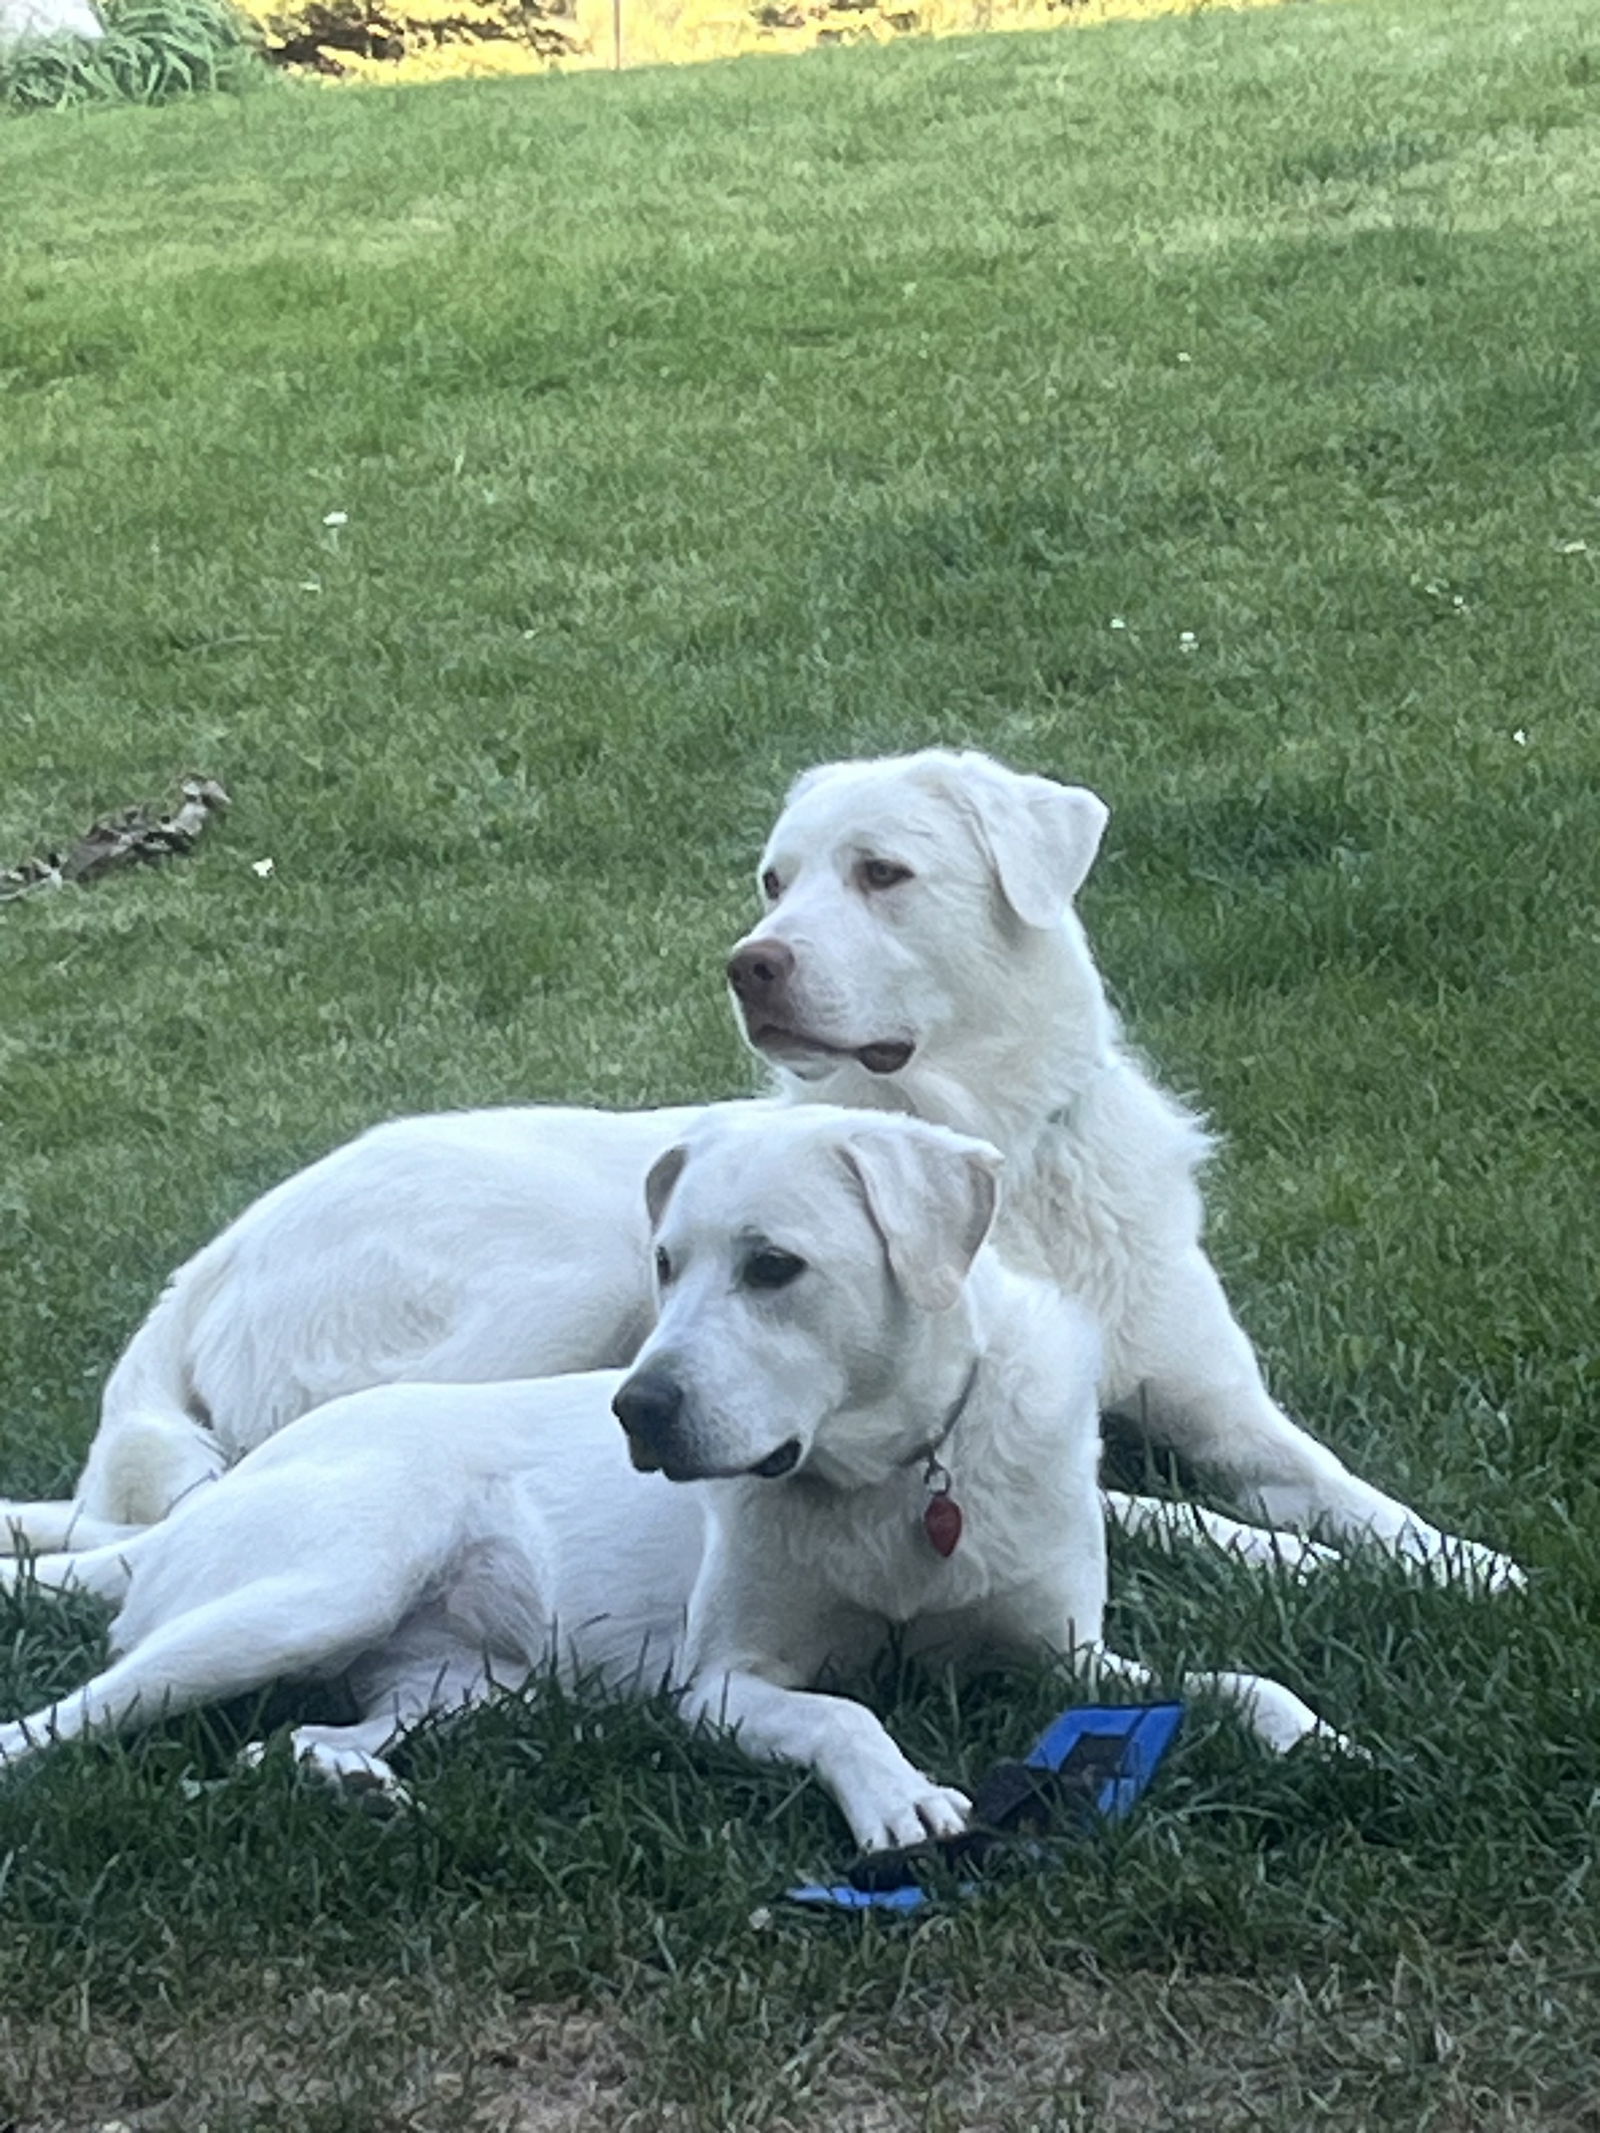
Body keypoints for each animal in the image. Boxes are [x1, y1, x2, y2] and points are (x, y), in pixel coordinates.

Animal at [0, 750, 1527, 1586]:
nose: (751, 964)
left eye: (881, 873)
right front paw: (1293, 1564)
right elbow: (1172, 1513)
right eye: (774, 881)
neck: (981, 1144)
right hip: (567, 1276)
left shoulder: (1227, 1407)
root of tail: (204, 1268)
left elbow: (1356, 1493)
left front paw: (1471, 1562)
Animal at [0, 1109, 1356, 1842]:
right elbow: (845, 1712)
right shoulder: (718, 1688)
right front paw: (899, 1800)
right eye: (664, 1263)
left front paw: (1320, 1734)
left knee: (289, 1742)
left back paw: (353, 1784)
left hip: (473, 1683)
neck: (894, 1480)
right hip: (315, 1591)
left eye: (773, 1267)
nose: (634, 1410)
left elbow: (1237, 1680)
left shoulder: (1069, 1658)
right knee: (63, 1717)